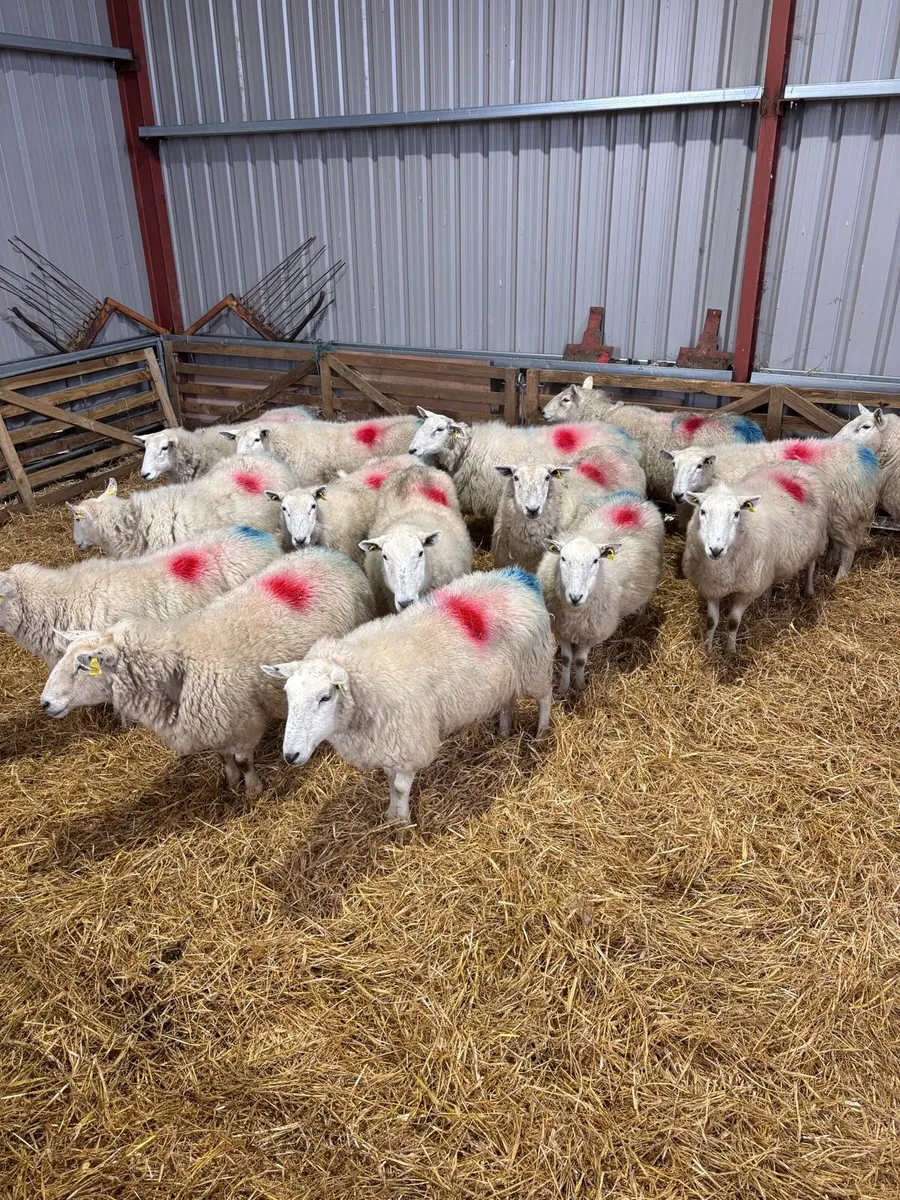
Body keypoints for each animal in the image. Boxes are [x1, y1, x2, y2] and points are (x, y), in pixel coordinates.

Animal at [40, 550, 375, 795]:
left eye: (83, 664)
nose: (45, 703)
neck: (180, 668)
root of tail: (330, 553)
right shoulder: (213, 724)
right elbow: (223, 756)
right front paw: (231, 781)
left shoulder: (244, 721)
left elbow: (243, 759)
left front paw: (252, 789)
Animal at [262, 567, 554, 825]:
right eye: (288, 695)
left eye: (325, 697)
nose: (290, 755)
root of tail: (520, 577)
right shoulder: (388, 743)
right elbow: (390, 783)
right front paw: (391, 815)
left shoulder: (410, 741)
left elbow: (401, 786)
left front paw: (402, 822)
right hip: (508, 674)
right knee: (507, 700)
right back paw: (504, 731)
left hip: (535, 665)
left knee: (545, 697)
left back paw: (541, 731)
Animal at [537, 492, 664, 695]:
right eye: (563, 558)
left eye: (596, 560)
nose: (575, 597)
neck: (574, 614)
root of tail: (633, 497)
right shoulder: (560, 628)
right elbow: (566, 659)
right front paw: (564, 688)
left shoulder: (593, 632)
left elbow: (580, 660)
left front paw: (580, 687)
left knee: (644, 599)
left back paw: (640, 618)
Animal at [666, 437, 880, 578]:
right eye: (674, 464)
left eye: (699, 465)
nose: (677, 494)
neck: (717, 471)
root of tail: (864, 456)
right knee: (837, 543)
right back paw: (829, 561)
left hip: (848, 513)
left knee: (849, 549)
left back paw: (839, 577)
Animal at [682, 463, 828, 654]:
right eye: (703, 511)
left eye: (736, 514)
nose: (716, 550)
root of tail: (798, 465)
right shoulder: (710, 585)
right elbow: (711, 622)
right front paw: (709, 648)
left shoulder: (748, 590)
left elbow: (733, 622)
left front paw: (730, 651)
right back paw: (767, 596)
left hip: (816, 541)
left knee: (811, 564)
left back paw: (809, 589)